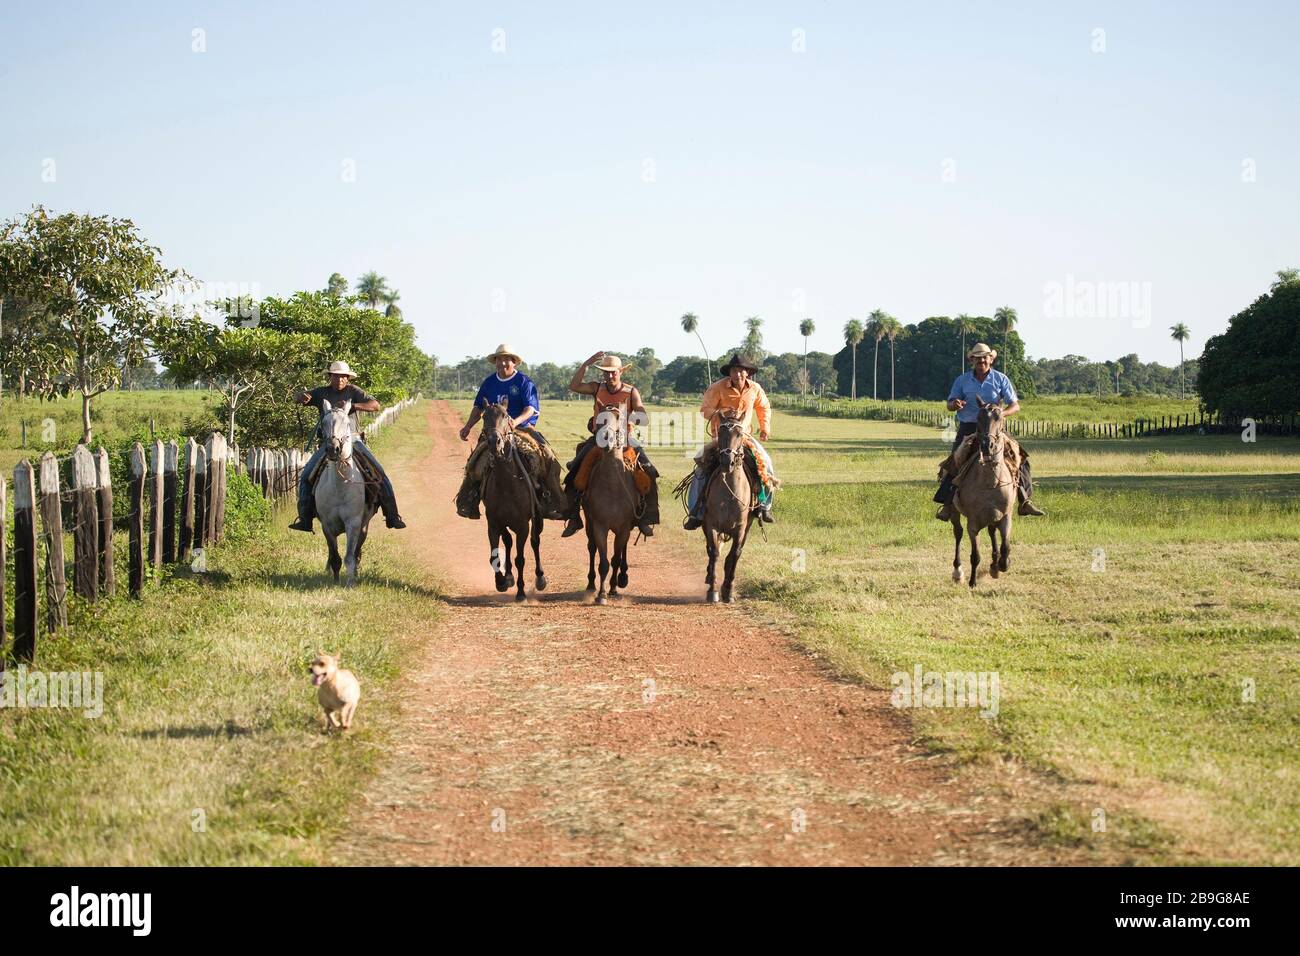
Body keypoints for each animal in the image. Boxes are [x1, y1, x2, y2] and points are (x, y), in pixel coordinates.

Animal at [313, 400, 377, 587]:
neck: (340, 487)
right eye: (323, 423)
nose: (333, 448)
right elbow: (335, 556)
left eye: (347, 423)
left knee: (357, 552)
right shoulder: (327, 525)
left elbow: (350, 557)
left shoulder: (354, 523)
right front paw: (335, 580)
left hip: (364, 525)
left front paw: (350, 582)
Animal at [480, 400, 546, 600]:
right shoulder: (494, 523)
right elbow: (495, 555)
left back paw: (540, 578)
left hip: (537, 519)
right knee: (508, 541)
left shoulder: (523, 526)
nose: (494, 442)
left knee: (535, 541)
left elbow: (520, 559)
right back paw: (508, 576)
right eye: (484, 416)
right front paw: (501, 581)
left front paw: (521, 592)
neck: (506, 483)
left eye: (505, 416)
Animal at [582, 403, 642, 606]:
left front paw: (614, 588)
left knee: (622, 550)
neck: (612, 485)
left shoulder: (623, 527)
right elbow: (603, 562)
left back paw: (620, 580)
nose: (606, 439)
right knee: (591, 547)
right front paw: (601, 594)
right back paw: (591, 584)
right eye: (599, 420)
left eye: (618, 420)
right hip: (589, 522)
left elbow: (615, 559)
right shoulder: (600, 526)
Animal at [707, 411, 759, 606]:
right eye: (720, 433)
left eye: (739, 434)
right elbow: (714, 553)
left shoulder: (741, 529)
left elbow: (734, 555)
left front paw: (728, 590)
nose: (727, 462)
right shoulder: (711, 525)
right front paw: (713, 591)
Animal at [946, 392, 1013, 587]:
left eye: (1000, 417)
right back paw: (957, 572)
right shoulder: (973, 523)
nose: (986, 445)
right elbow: (975, 555)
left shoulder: (1006, 517)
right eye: (978, 418)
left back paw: (994, 564)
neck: (990, 482)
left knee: (992, 532)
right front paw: (972, 581)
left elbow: (1006, 547)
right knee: (958, 533)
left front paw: (1001, 565)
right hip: (954, 513)